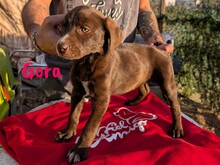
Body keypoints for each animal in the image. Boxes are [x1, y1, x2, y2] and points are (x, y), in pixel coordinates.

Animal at [55, 5, 183, 164]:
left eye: (84, 29)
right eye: (63, 27)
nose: (60, 47)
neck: (87, 61)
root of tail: (160, 49)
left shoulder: (101, 99)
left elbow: (89, 128)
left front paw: (79, 150)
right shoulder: (78, 91)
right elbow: (73, 115)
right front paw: (68, 133)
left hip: (167, 82)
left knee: (175, 105)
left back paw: (177, 128)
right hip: (140, 75)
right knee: (145, 89)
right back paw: (134, 101)